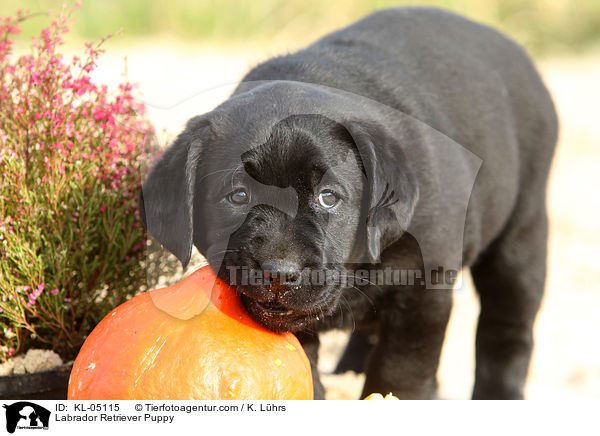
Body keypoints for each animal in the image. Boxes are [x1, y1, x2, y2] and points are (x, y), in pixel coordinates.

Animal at [141, 7, 556, 402]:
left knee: (507, 328)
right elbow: (304, 364)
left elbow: (402, 367)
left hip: (522, 235)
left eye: (328, 198)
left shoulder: (426, 288)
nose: (279, 273)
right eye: (237, 196)